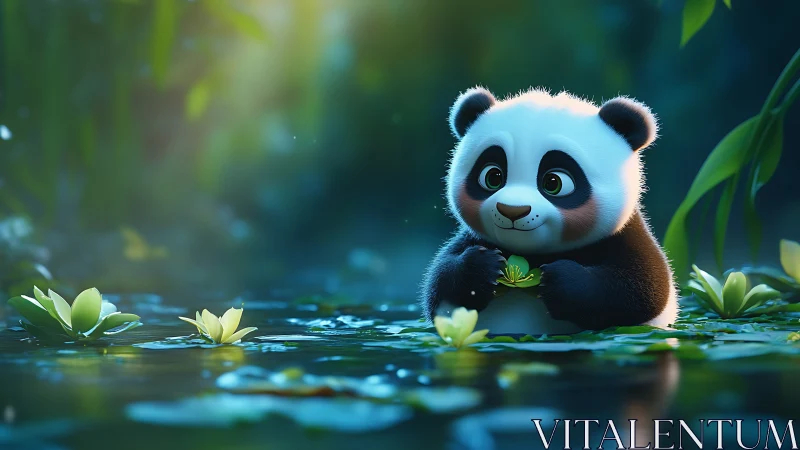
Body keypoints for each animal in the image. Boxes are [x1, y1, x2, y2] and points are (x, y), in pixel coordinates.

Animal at [420, 86, 678, 335]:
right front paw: (482, 267)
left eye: (553, 182)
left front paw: (561, 281)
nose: (512, 210)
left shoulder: (625, 235)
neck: (534, 254)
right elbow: (439, 284)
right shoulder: (472, 239)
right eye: (493, 177)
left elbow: (644, 288)